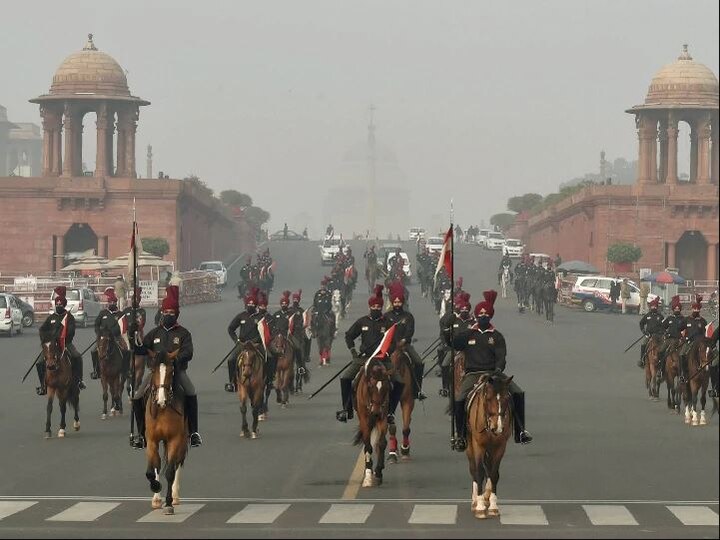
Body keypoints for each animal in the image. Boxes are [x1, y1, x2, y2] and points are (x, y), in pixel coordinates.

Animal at [144, 350, 187, 516]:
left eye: (171, 371)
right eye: (153, 370)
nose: (161, 400)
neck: (163, 410)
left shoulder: (175, 439)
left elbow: (169, 472)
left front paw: (168, 503)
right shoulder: (151, 440)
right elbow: (152, 469)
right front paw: (156, 491)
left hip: (183, 440)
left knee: (177, 464)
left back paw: (175, 497)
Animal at [352, 358, 390, 490]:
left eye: (386, 387)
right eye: (370, 386)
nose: (376, 413)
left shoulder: (383, 417)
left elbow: (382, 443)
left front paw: (378, 472)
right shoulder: (364, 419)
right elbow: (368, 446)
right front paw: (368, 476)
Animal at [464, 376, 516, 520]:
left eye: (506, 398)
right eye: (488, 399)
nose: (497, 427)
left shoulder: (500, 446)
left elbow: (493, 473)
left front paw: (493, 506)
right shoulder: (478, 445)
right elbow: (479, 472)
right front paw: (480, 507)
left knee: (488, 466)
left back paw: (486, 496)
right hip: (470, 445)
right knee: (473, 468)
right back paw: (475, 500)